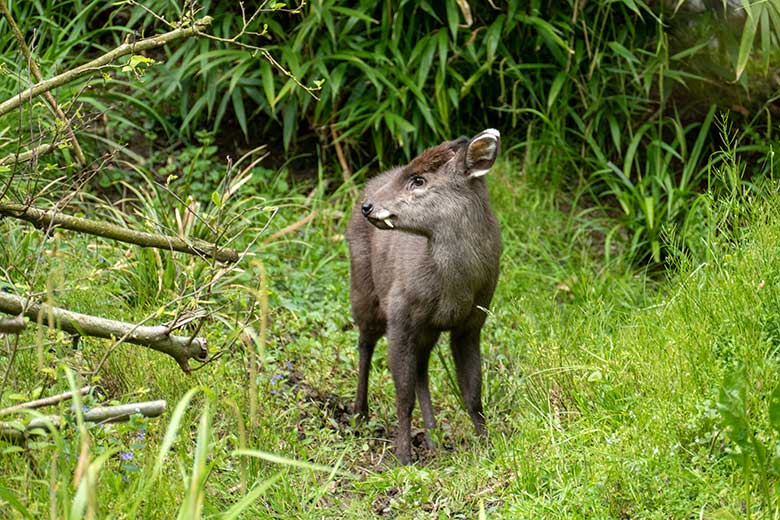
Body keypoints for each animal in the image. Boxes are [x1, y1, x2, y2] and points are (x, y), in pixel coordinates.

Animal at [346, 128, 502, 466]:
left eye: (418, 180)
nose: (368, 206)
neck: (452, 287)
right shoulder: (400, 314)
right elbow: (403, 394)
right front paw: (403, 456)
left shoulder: (472, 322)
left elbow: (473, 392)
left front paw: (488, 444)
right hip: (363, 288)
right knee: (365, 343)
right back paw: (360, 415)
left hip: (427, 328)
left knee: (422, 367)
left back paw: (433, 437)